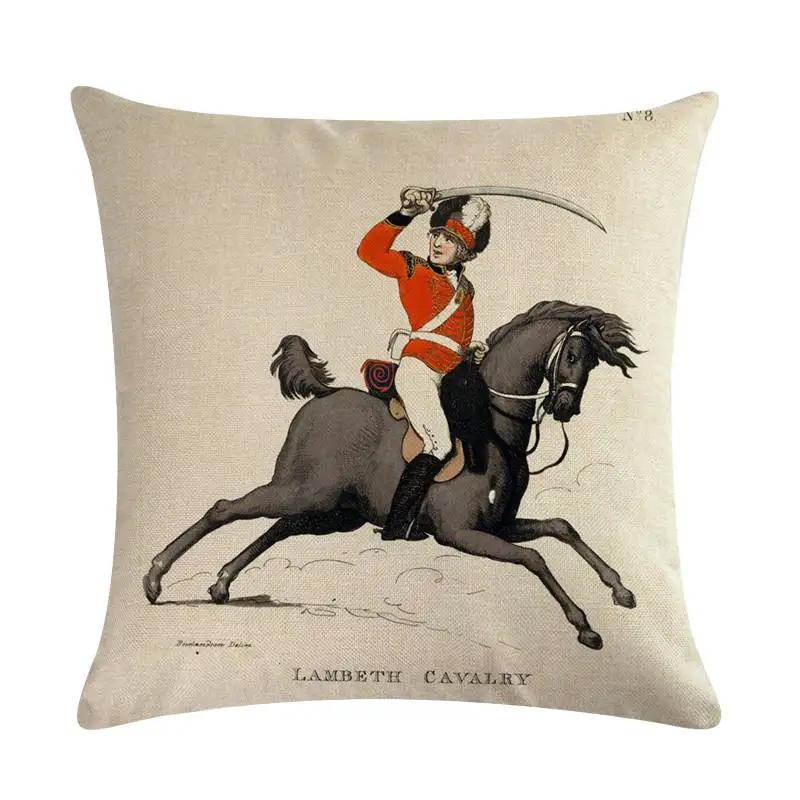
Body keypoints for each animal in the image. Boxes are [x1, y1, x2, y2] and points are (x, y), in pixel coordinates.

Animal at [143, 300, 643, 649]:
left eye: (593, 361)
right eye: (573, 353)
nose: (566, 406)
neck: (494, 430)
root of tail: (323, 397)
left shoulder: (500, 527)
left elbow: (562, 527)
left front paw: (620, 589)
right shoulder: (463, 534)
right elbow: (536, 559)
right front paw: (584, 626)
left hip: (332, 513)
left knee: (279, 528)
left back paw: (222, 582)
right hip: (300, 491)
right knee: (225, 509)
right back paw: (155, 578)